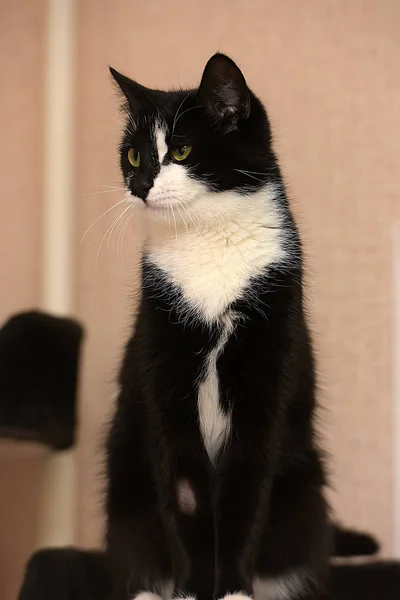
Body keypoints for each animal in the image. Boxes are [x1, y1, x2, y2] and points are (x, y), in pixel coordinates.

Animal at [104, 52, 330, 600]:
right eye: (134, 157)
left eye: (182, 150)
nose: (140, 185)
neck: (207, 242)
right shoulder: (161, 354)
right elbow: (181, 491)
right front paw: (190, 589)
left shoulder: (270, 360)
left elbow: (249, 488)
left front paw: (232, 590)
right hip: (126, 490)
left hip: (304, 496)